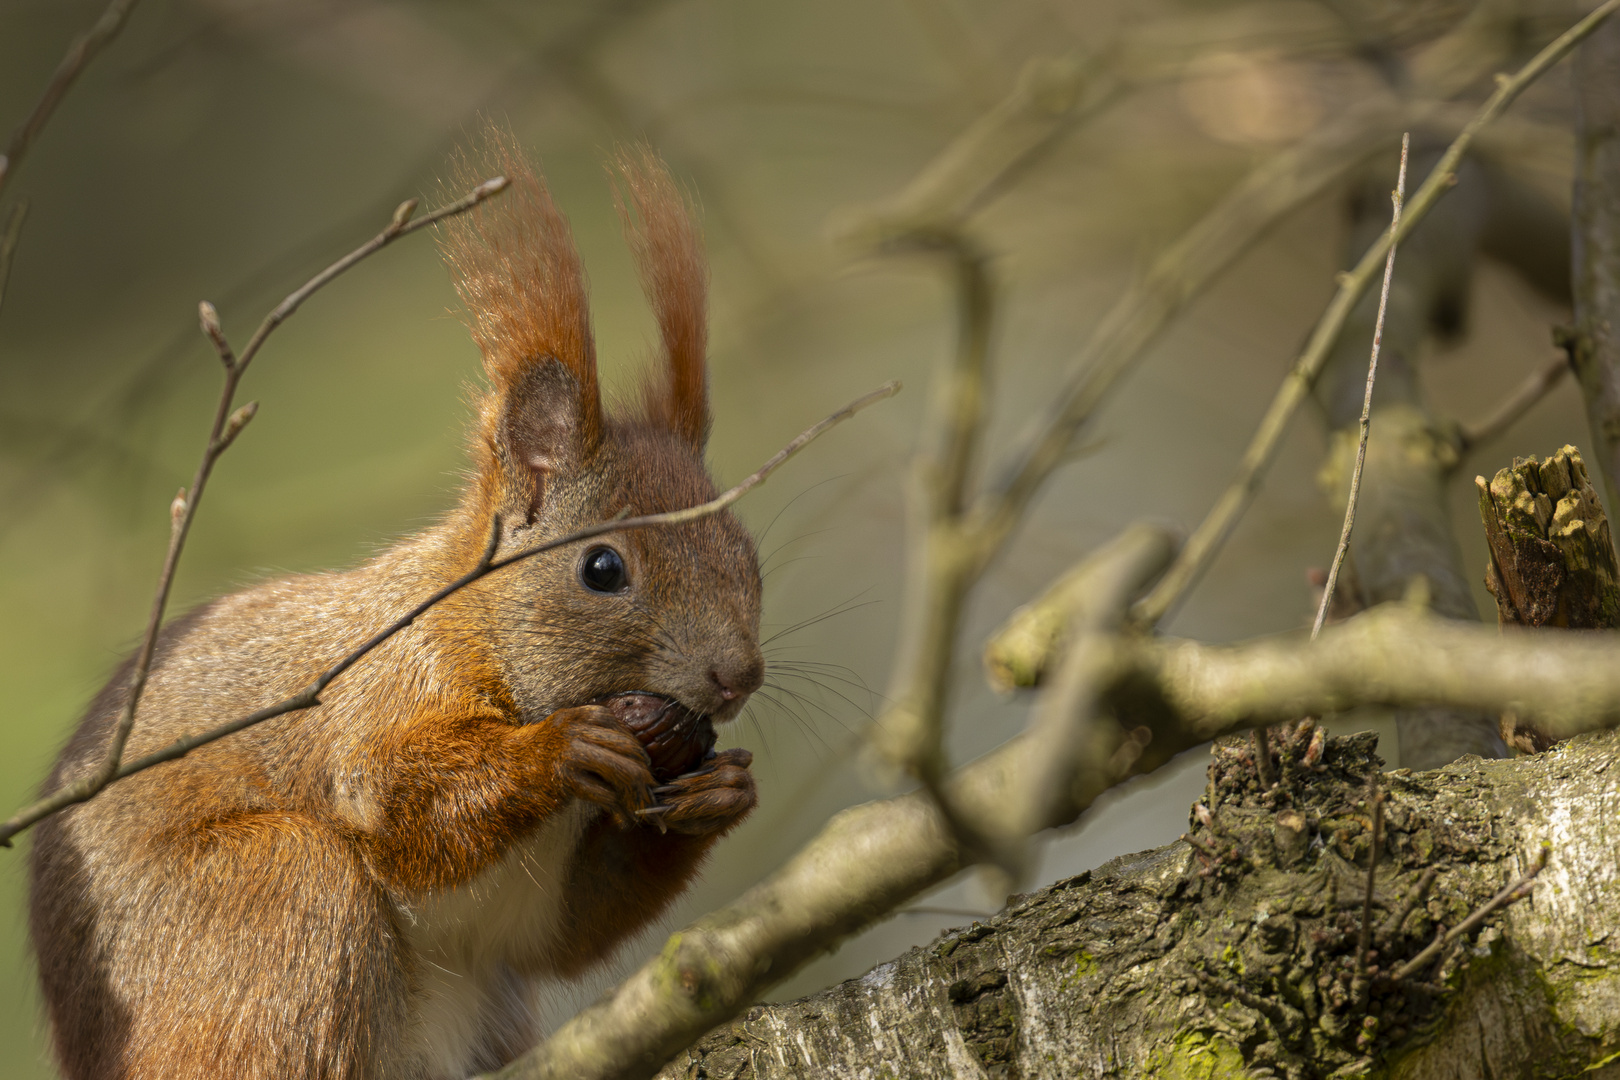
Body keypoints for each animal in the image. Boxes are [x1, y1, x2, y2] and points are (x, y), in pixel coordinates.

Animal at [23, 137, 758, 1080]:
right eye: (603, 568)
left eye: (748, 553)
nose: (740, 674)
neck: (475, 625)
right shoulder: (384, 686)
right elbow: (389, 800)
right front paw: (563, 748)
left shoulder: (524, 915)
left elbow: (565, 935)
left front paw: (724, 790)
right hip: (270, 900)